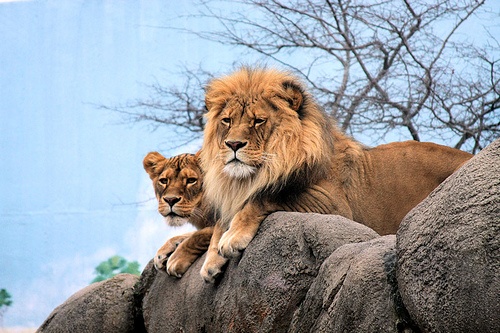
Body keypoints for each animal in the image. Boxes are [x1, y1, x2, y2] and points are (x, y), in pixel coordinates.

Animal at [199, 67, 472, 280]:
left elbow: (264, 197)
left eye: (258, 120)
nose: (233, 144)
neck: (253, 176)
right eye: (227, 121)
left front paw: (232, 237)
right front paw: (211, 262)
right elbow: (220, 222)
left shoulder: (333, 206)